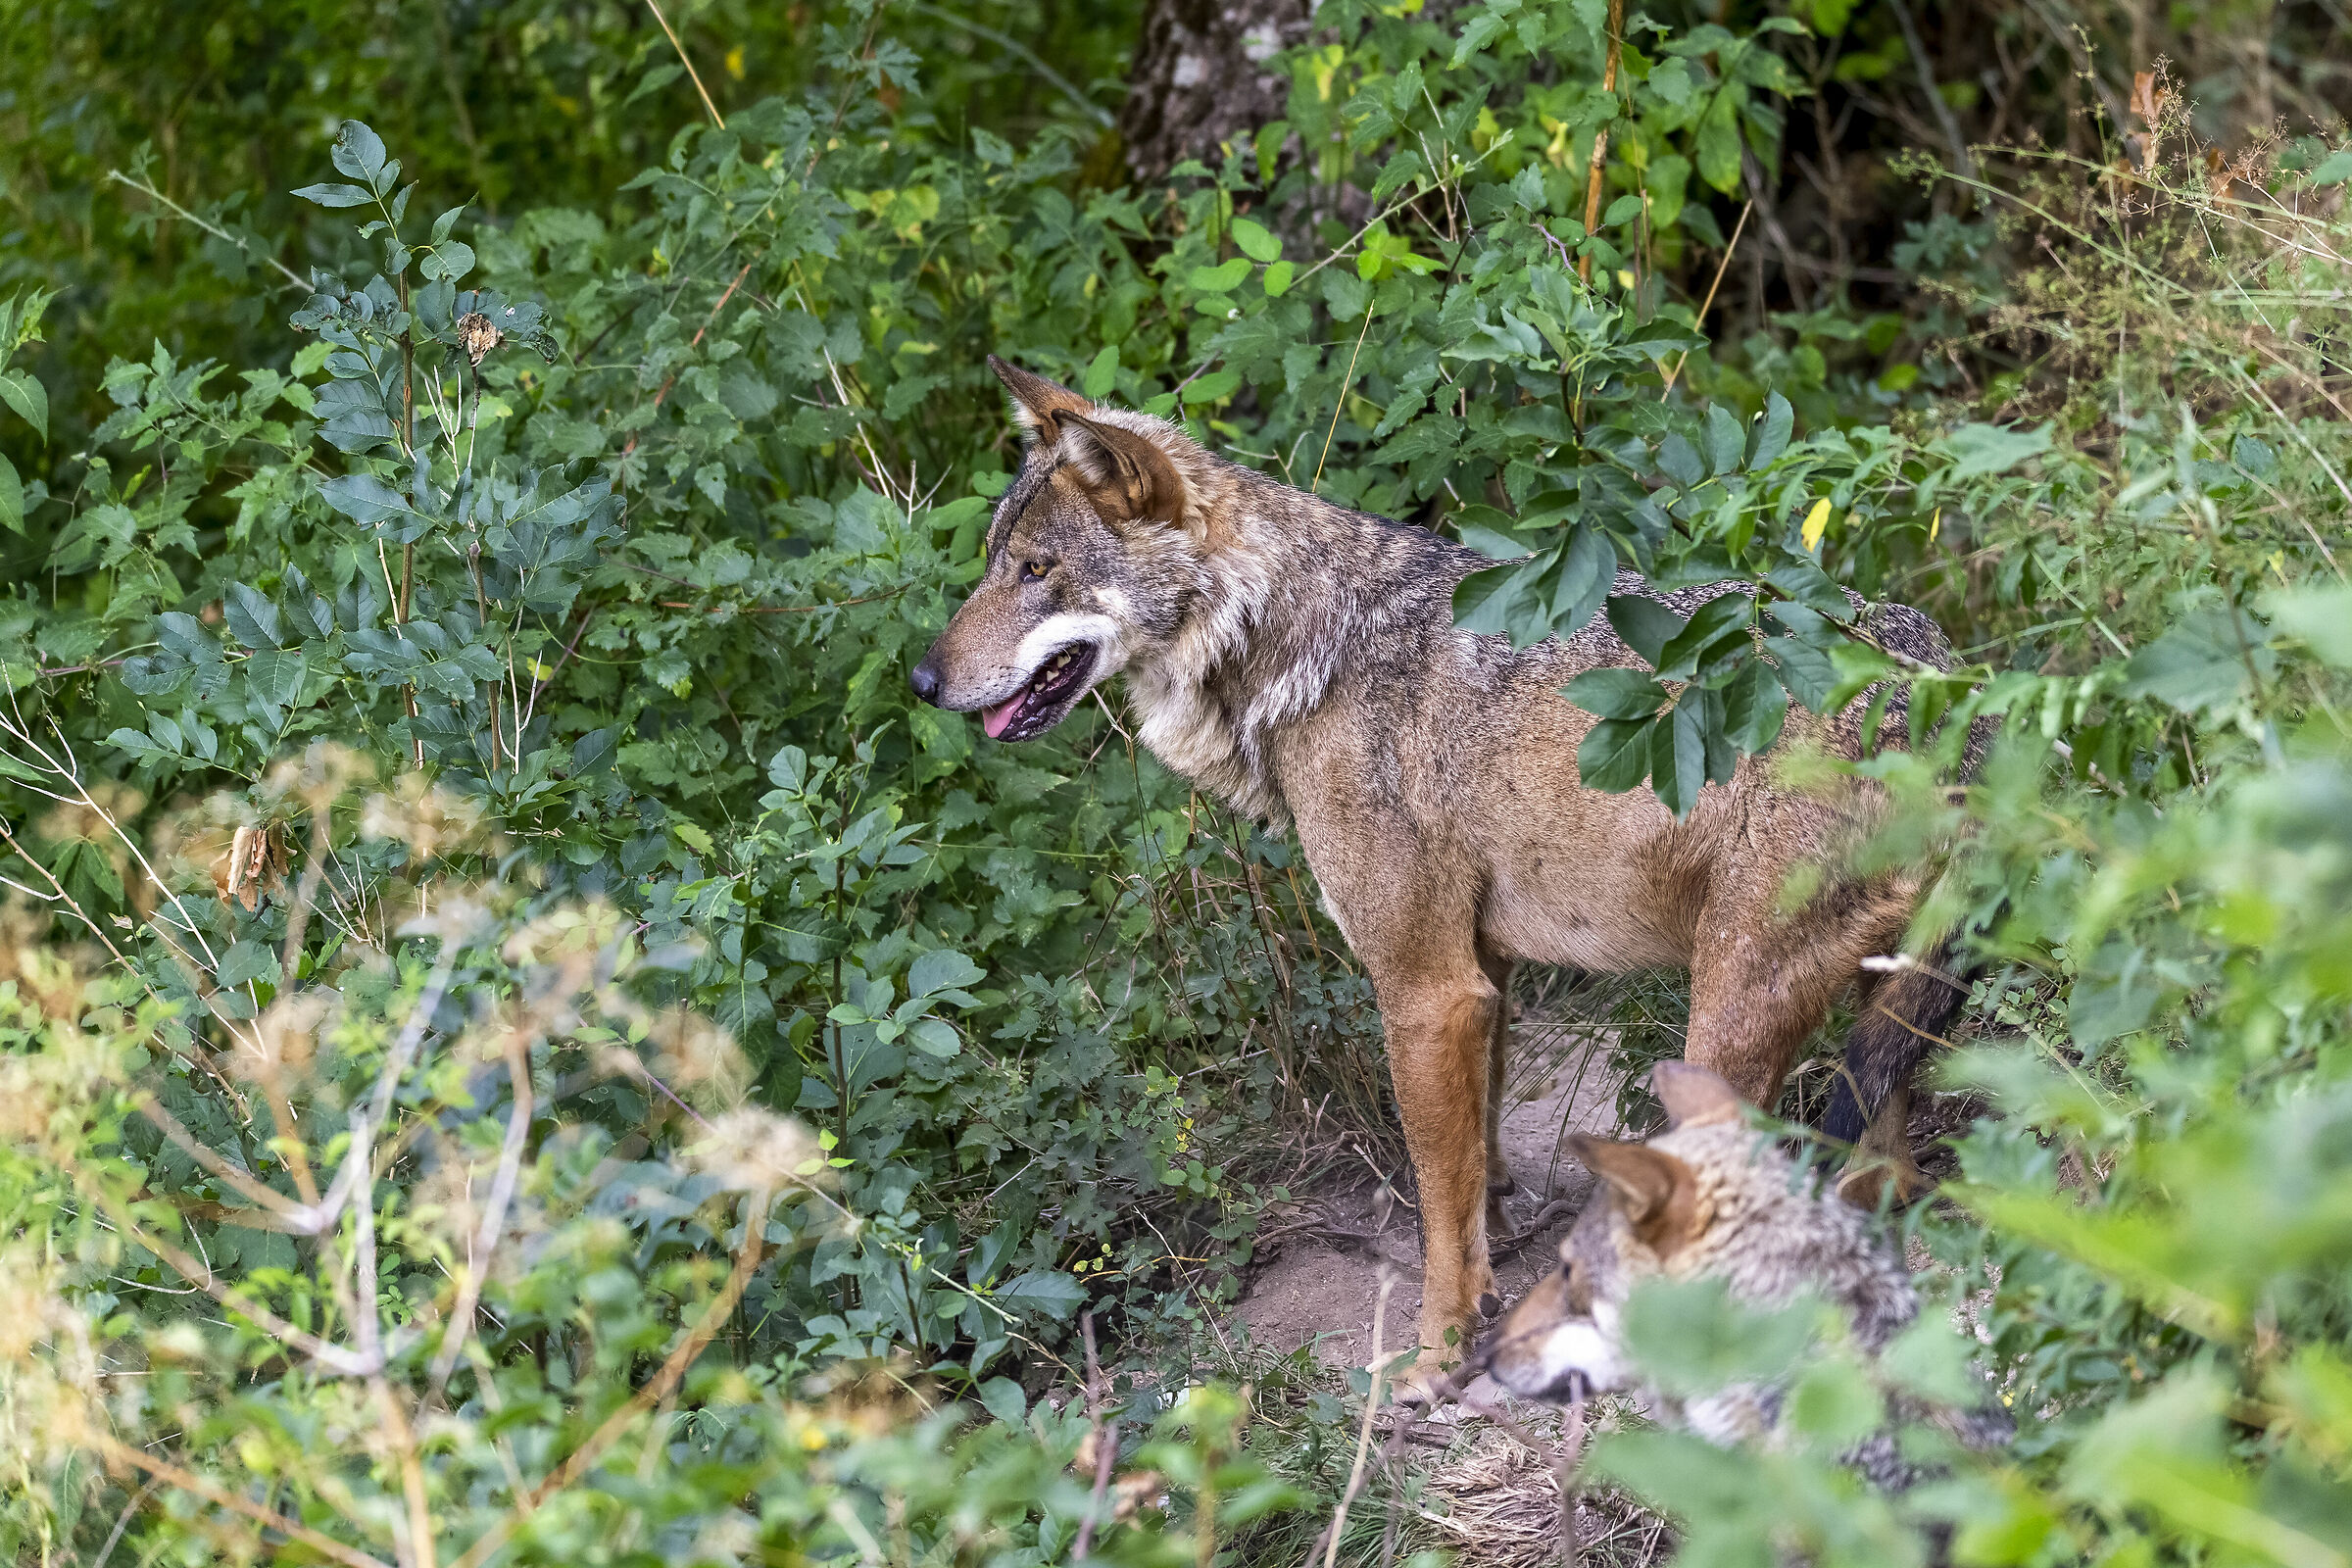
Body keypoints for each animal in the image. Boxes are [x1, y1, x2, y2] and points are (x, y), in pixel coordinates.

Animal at [909, 357, 1972, 1373]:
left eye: (1039, 570)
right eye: (995, 563)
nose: (921, 680)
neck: (1295, 644)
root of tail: (1936, 675)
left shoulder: (1425, 989)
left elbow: (1435, 1205)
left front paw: (1435, 1356)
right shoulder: (1483, 971)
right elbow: (1476, 1166)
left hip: (1726, 1017)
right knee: (1881, 1190)